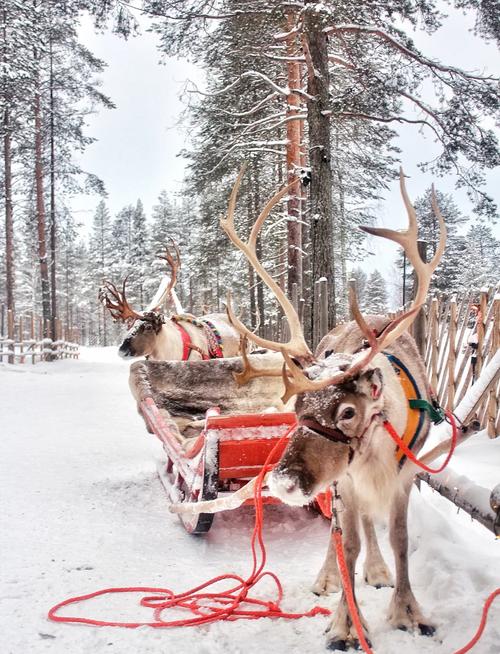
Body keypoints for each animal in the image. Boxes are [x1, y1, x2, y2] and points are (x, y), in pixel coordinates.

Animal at [172, 168, 448, 651]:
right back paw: (330, 577)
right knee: (340, 530)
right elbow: (347, 543)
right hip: (334, 484)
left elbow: (398, 538)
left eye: (348, 412)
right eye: (297, 405)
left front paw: (408, 612)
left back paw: (377, 571)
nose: (281, 481)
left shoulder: (404, 475)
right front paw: (346, 624)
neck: (376, 452)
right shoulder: (348, 481)